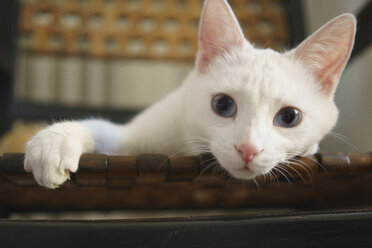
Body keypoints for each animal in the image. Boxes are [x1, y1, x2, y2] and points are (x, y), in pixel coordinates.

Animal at [24, 0, 356, 187]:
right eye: (222, 104)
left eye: (289, 117)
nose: (248, 149)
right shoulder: (131, 140)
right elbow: (100, 128)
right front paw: (54, 143)